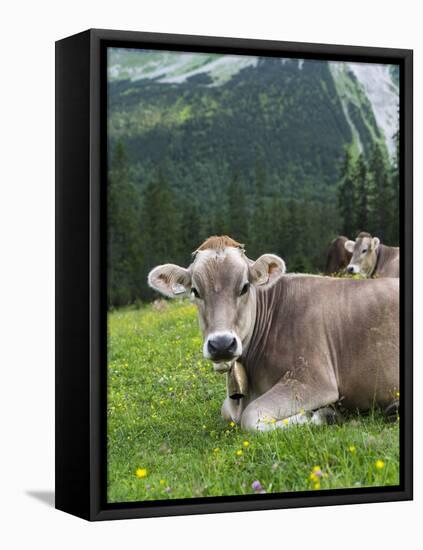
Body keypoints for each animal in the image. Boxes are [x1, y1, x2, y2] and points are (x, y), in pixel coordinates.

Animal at [150, 235, 400, 434]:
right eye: (195, 291)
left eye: (245, 287)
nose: (221, 344)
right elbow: (226, 411)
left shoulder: (314, 379)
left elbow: (250, 417)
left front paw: (322, 415)